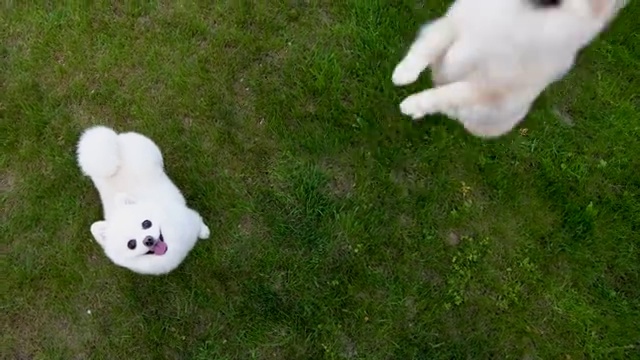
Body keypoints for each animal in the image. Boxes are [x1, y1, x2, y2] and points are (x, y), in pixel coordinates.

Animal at [76, 125, 209, 274]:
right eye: (131, 244)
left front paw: (204, 232)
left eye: (146, 223)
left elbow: (199, 223)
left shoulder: (190, 218)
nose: (148, 240)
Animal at [392, 0, 628, 138]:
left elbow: (445, 94)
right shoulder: (458, 24)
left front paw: (413, 104)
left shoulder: (486, 86)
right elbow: (426, 47)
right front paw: (403, 74)